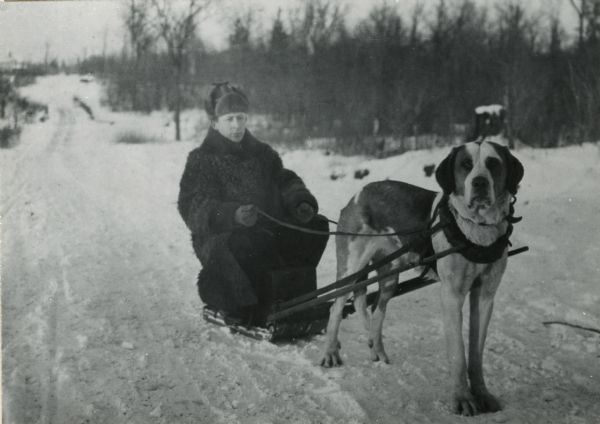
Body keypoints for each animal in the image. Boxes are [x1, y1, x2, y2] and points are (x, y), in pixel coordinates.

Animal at [322, 141, 524, 416]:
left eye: (493, 163)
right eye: (466, 165)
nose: (480, 182)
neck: (476, 230)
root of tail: (360, 193)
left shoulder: (485, 297)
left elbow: (476, 353)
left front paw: (482, 394)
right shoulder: (452, 296)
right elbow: (459, 354)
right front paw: (462, 399)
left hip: (390, 277)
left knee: (376, 310)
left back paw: (378, 351)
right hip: (351, 267)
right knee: (336, 307)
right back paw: (331, 352)